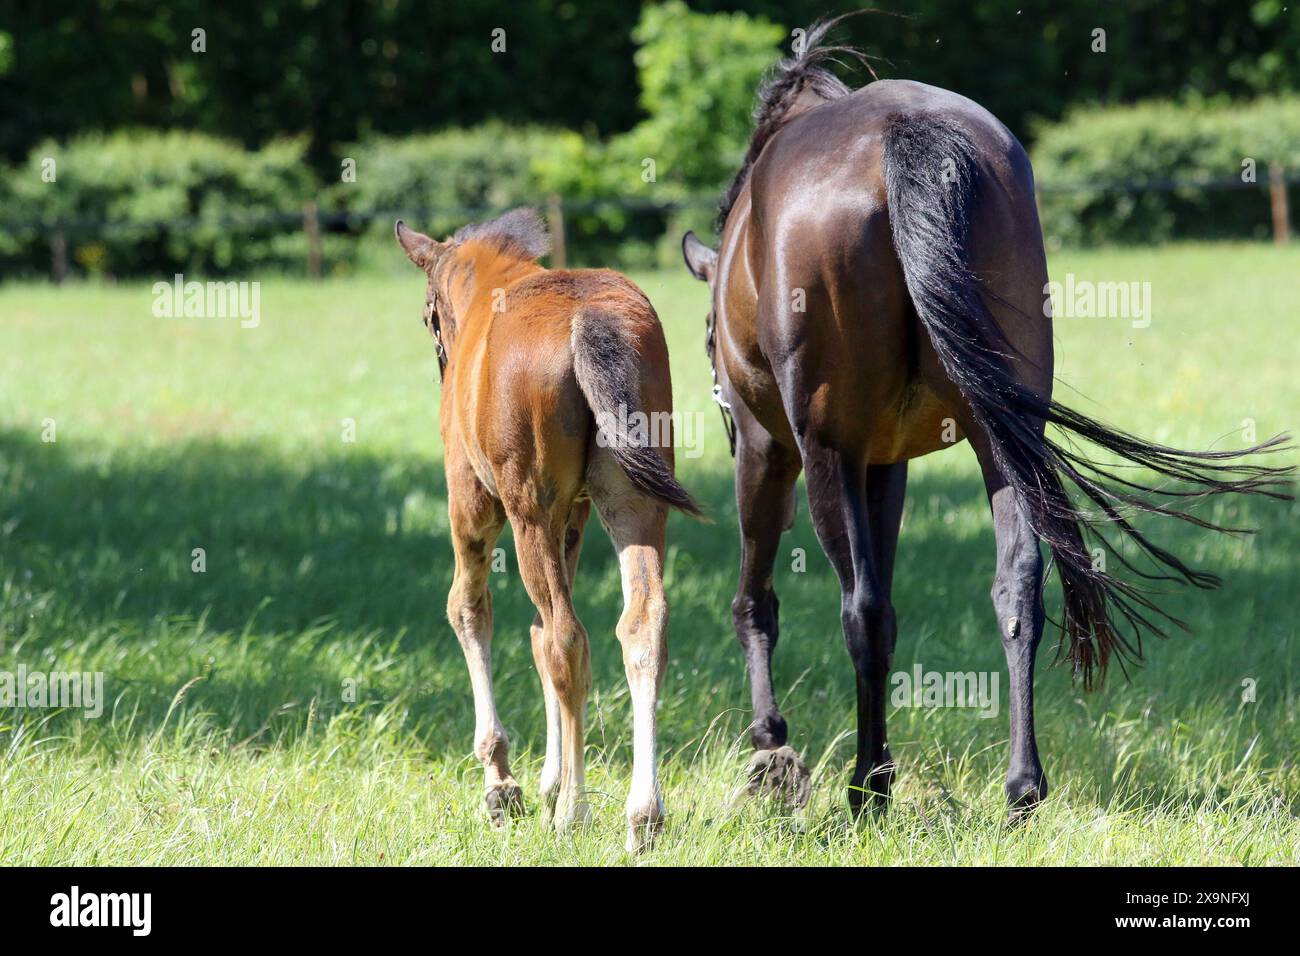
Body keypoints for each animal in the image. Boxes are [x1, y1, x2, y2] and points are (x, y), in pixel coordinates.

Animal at [396, 208, 699, 850]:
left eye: (428, 315)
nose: (441, 362)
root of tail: (591, 321)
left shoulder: (472, 502)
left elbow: (470, 610)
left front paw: (502, 782)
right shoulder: (575, 514)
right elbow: (535, 633)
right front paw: (548, 780)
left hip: (527, 509)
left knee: (567, 637)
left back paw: (575, 813)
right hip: (634, 502)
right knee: (640, 625)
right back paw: (643, 814)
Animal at [680, 17, 1293, 818]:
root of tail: (903, 135)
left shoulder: (772, 450)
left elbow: (757, 599)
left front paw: (770, 743)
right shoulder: (886, 462)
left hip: (824, 451)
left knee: (860, 608)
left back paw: (867, 787)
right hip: (999, 435)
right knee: (1017, 585)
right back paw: (1021, 786)